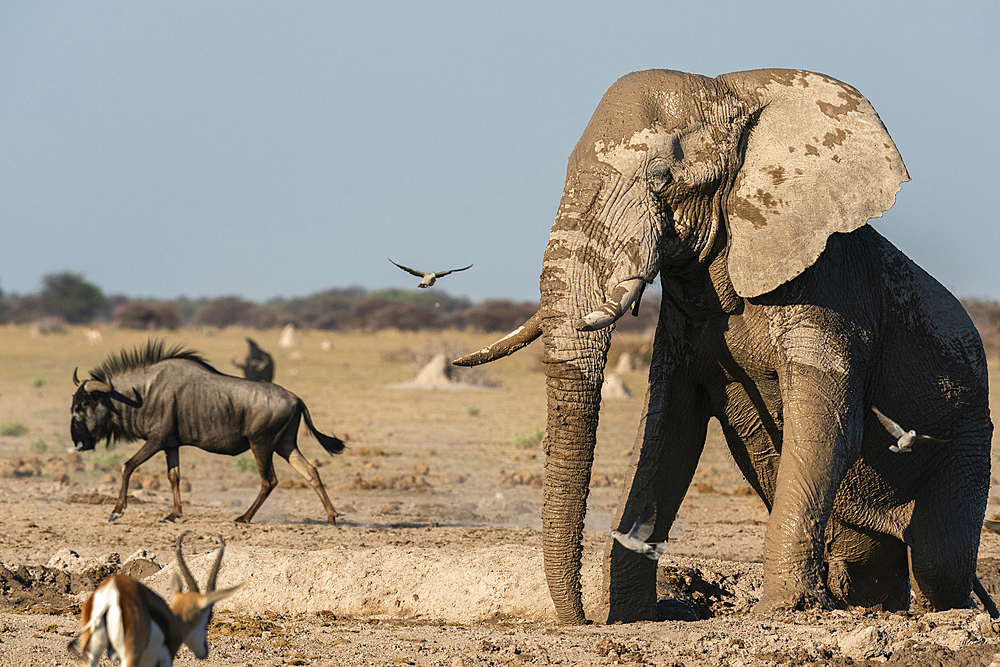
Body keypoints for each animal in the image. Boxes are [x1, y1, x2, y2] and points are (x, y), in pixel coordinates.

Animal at [454, 69, 992, 628]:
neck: (736, 91)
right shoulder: (683, 322)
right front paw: (632, 616)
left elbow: (826, 430)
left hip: (969, 440)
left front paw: (783, 611)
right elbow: (668, 433)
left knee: (938, 559)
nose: (579, 620)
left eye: (661, 178)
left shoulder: (832, 296)